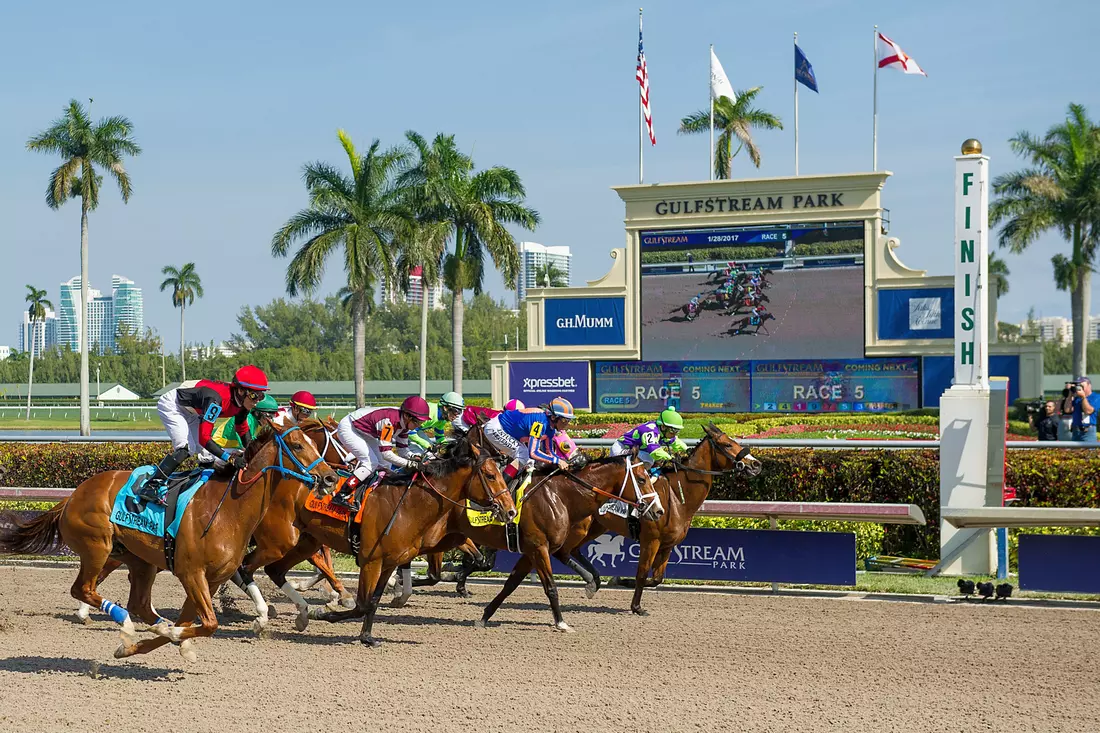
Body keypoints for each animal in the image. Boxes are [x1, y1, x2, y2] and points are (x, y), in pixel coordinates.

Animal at [0, 420, 336, 660]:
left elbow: (194, 623)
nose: (330, 477)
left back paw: (151, 624)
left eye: (314, 444)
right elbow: (208, 624)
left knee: (137, 602)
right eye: (297, 444)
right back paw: (124, 622)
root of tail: (70, 498)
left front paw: (147, 645)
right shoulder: (192, 573)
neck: (229, 509)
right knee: (84, 589)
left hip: (138, 560)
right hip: (97, 546)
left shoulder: (211, 579)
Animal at [249, 429, 514, 647]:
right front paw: (324, 613)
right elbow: (362, 604)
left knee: (274, 570)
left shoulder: (389, 562)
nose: (510, 510)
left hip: (305, 542)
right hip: (279, 541)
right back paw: (266, 615)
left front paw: (367, 636)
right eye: (490, 475)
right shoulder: (371, 561)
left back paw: (299, 614)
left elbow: (374, 601)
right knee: (247, 566)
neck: (408, 506)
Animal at [563, 422, 761, 611]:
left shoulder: (668, 545)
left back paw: (593, 581)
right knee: (565, 549)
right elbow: (642, 573)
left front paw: (621, 581)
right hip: (581, 528)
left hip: (596, 527)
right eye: (728, 444)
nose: (756, 465)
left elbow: (657, 579)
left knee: (574, 550)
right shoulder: (651, 540)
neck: (677, 496)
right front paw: (636, 606)